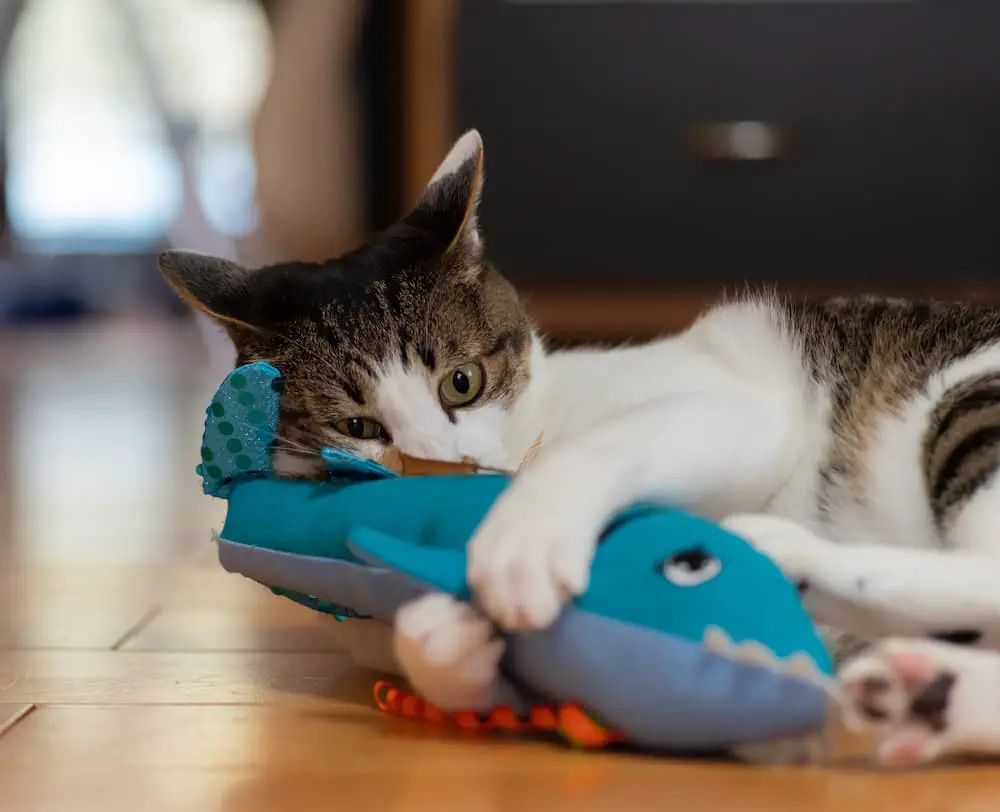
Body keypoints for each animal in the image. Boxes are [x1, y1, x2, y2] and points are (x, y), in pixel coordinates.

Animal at [158, 128, 1000, 768]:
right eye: (359, 428)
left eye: (462, 382)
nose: (440, 468)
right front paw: (448, 639)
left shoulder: (737, 403)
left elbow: (606, 447)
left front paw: (519, 541)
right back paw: (923, 695)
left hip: (970, 396)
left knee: (981, 563)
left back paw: (798, 557)